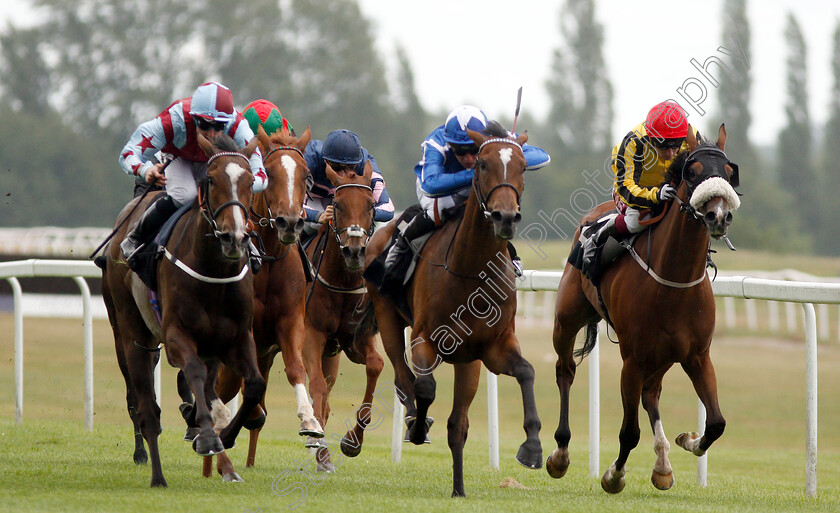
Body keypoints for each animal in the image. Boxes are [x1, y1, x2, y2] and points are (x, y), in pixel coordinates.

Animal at [101, 132, 266, 484]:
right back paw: (157, 475)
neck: (214, 272)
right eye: (211, 179)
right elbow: (194, 373)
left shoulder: (238, 337)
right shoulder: (177, 334)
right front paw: (207, 436)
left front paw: (225, 434)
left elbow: (254, 385)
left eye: (249, 182)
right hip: (130, 333)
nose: (234, 238)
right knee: (146, 409)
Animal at [200, 124, 324, 480]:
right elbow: (239, 391)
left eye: (307, 175)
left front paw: (310, 422)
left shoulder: (290, 323)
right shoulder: (246, 332)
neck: (268, 262)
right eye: (268, 173)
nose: (289, 222)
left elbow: (296, 368)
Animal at [302, 163, 384, 472]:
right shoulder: (310, 334)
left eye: (371, 205)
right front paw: (315, 439)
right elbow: (315, 385)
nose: (354, 251)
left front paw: (353, 441)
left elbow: (375, 364)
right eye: (336, 204)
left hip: (332, 355)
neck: (343, 281)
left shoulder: (354, 341)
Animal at [356, 121, 540, 496]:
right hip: (388, 315)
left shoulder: (492, 348)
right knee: (402, 379)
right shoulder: (425, 338)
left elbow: (526, 372)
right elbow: (425, 387)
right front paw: (417, 426)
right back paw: (415, 420)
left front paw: (532, 448)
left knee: (459, 423)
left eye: (522, 166)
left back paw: (459, 488)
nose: (505, 217)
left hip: (467, 361)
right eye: (482, 164)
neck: (472, 271)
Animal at [540, 124, 740, 492]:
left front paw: (687, 439)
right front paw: (613, 475)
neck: (673, 280)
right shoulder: (631, 360)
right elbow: (629, 432)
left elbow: (717, 423)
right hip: (567, 318)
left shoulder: (696, 356)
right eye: (693, 171)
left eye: (729, 172)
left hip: (663, 356)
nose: (718, 215)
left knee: (651, 393)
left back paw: (663, 464)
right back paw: (560, 453)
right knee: (565, 370)